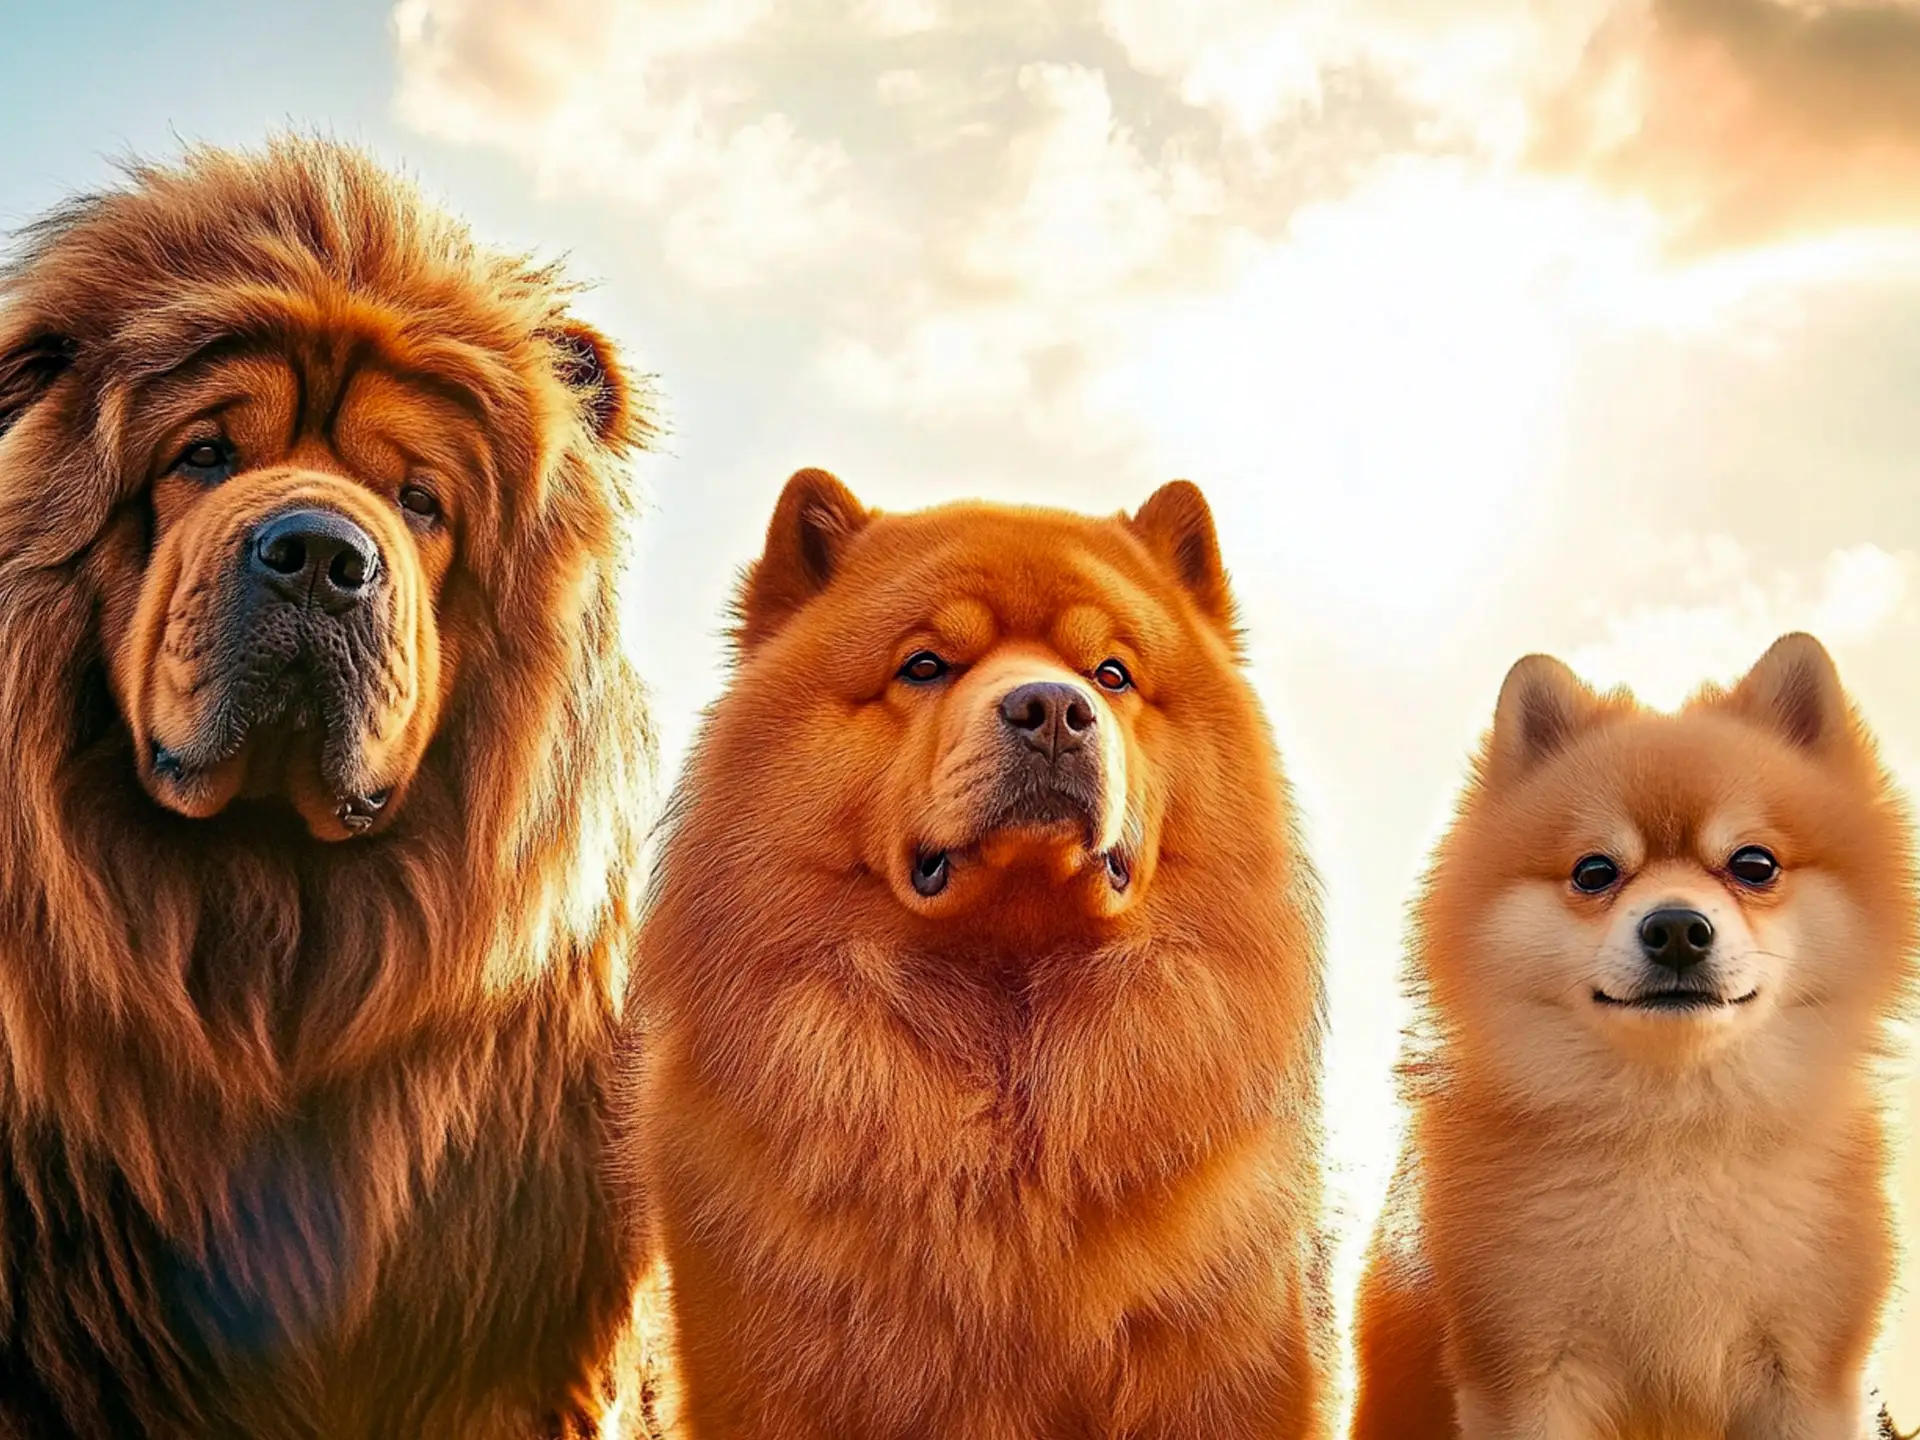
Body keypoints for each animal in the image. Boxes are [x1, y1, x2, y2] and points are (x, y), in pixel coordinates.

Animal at [1351, 633, 1920, 1440]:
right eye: (1595, 871)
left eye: (1754, 864)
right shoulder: (1527, 1369)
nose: (1677, 926)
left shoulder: (1804, 1378)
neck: (1672, 1129)